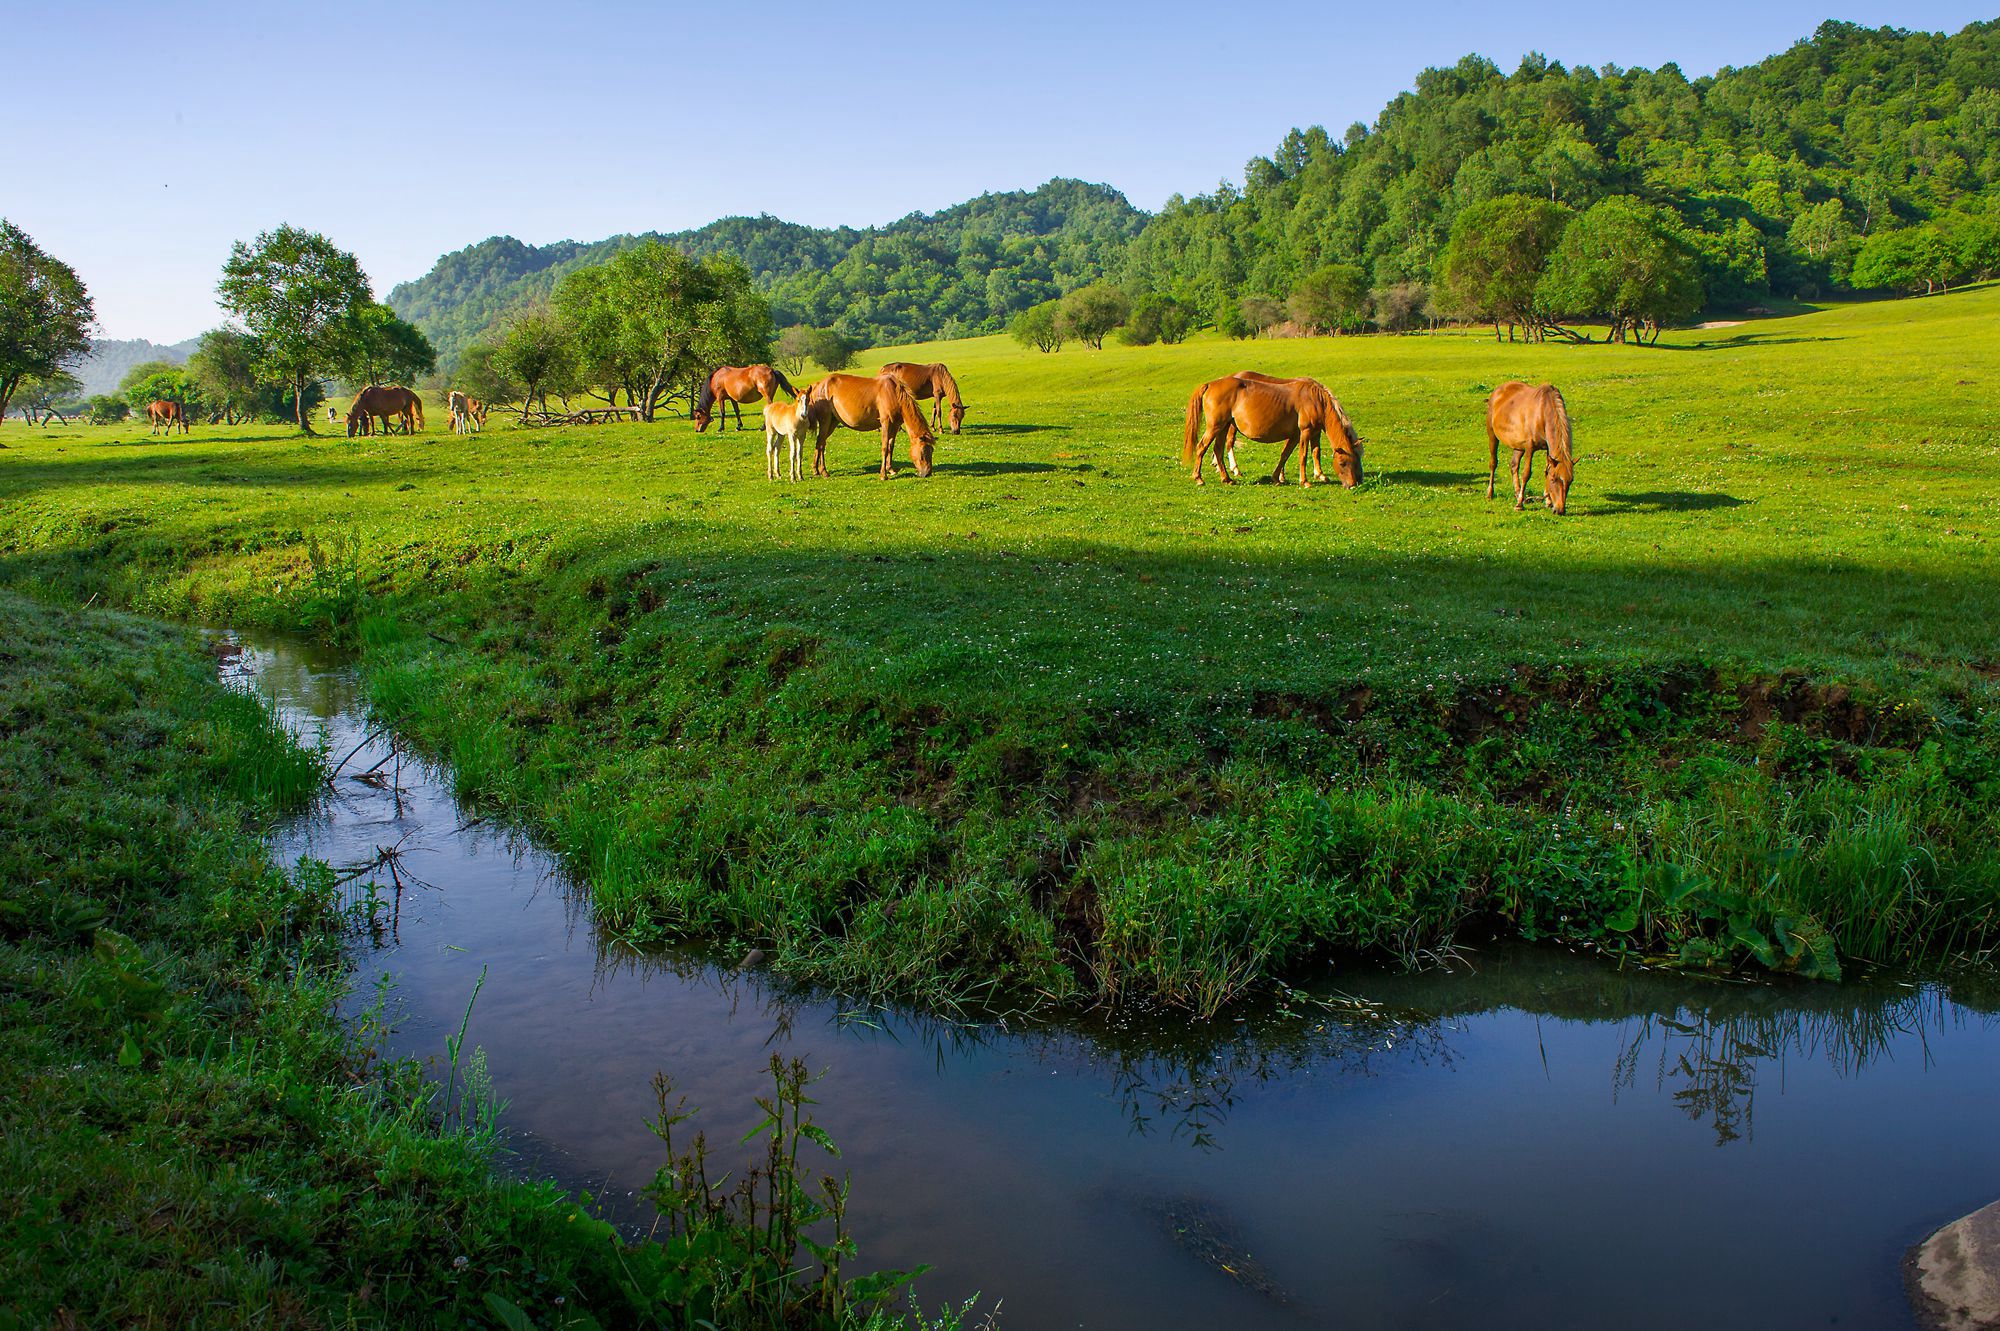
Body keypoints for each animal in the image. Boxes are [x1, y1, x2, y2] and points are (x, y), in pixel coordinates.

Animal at [796, 369, 936, 479]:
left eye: (932, 451)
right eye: (922, 453)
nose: (927, 473)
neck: (893, 393)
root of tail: (817, 385)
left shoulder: (895, 425)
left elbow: (891, 446)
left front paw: (890, 469)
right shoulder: (885, 423)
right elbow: (885, 447)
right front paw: (883, 474)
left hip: (833, 422)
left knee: (820, 442)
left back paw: (816, 470)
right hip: (825, 421)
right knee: (821, 443)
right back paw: (824, 471)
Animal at [1176, 373, 1368, 487]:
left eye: (1357, 461)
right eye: (1343, 463)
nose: (1353, 484)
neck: (1315, 399)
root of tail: (1210, 384)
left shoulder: (1300, 435)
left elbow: (1290, 455)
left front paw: (1278, 477)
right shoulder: (1305, 432)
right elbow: (1303, 455)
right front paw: (1305, 481)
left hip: (1223, 427)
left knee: (1218, 450)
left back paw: (1227, 478)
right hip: (1215, 426)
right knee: (1202, 447)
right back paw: (1199, 478)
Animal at [1480, 381, 1568, 515]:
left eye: (1570, 481)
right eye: (1554, 480)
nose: (1560, 510)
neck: (1542, 413)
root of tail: (1498, 390)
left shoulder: (1548, 448)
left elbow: (1546, 470)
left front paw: (1548, 501)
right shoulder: (1529, 447)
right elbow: (1526, 473)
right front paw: (1519, 505)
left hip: (1518, 446)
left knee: (1513, 464)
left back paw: (1517, 493)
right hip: (1493, 436)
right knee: (1493, 463)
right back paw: (1490, 493)